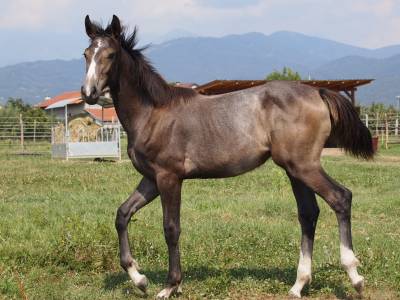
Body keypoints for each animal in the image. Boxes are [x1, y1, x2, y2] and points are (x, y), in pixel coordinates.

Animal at [79, 15, 374, 298]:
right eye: (86, 53)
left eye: (111, 55)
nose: (88, 93)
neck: (154, 113)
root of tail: (318, 92)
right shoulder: (151, 180)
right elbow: (122, 215)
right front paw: (139, 279)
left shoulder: (169, 177)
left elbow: (171, 228)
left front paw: (171, 285)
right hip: (295, 170)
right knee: (308, 213)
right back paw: (298, 285)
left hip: (304, 166)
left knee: (340, 198)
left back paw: (355, 277)